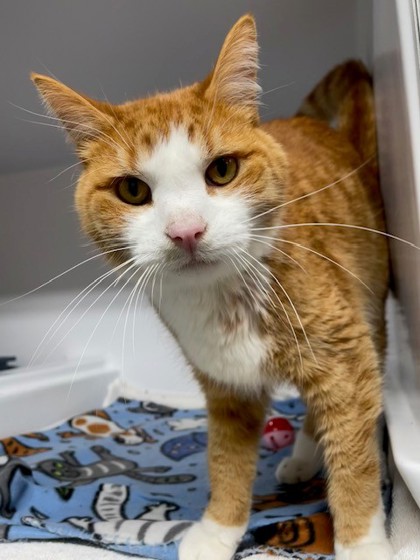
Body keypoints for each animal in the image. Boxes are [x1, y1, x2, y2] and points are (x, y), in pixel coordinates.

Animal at [31, 14, 391, 560]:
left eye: (222, 169)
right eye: (131, 190)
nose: (186, 231)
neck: (225, 300)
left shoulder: (345, 356)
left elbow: (354, 457)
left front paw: (362, 542)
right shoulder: (225, 385)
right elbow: (226, 459)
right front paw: (219, 527)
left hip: (368, 313)